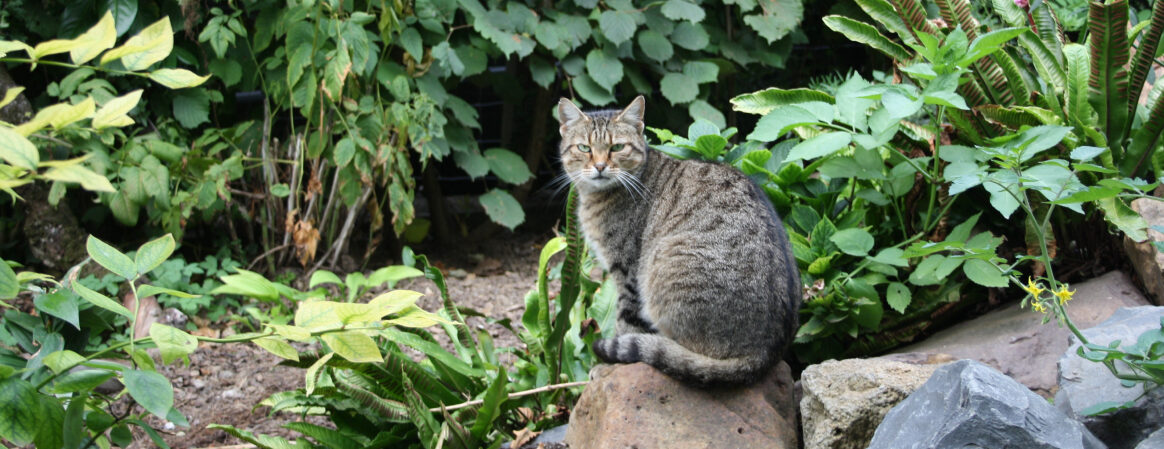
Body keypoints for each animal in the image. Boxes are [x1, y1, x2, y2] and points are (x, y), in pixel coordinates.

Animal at [558, 94, 805, 386]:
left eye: (617, 147)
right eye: (584, 148)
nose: (599, 166)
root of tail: (766, 354)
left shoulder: (627, 272)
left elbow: (625, 323)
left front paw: (606, 368)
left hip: (662, 267)